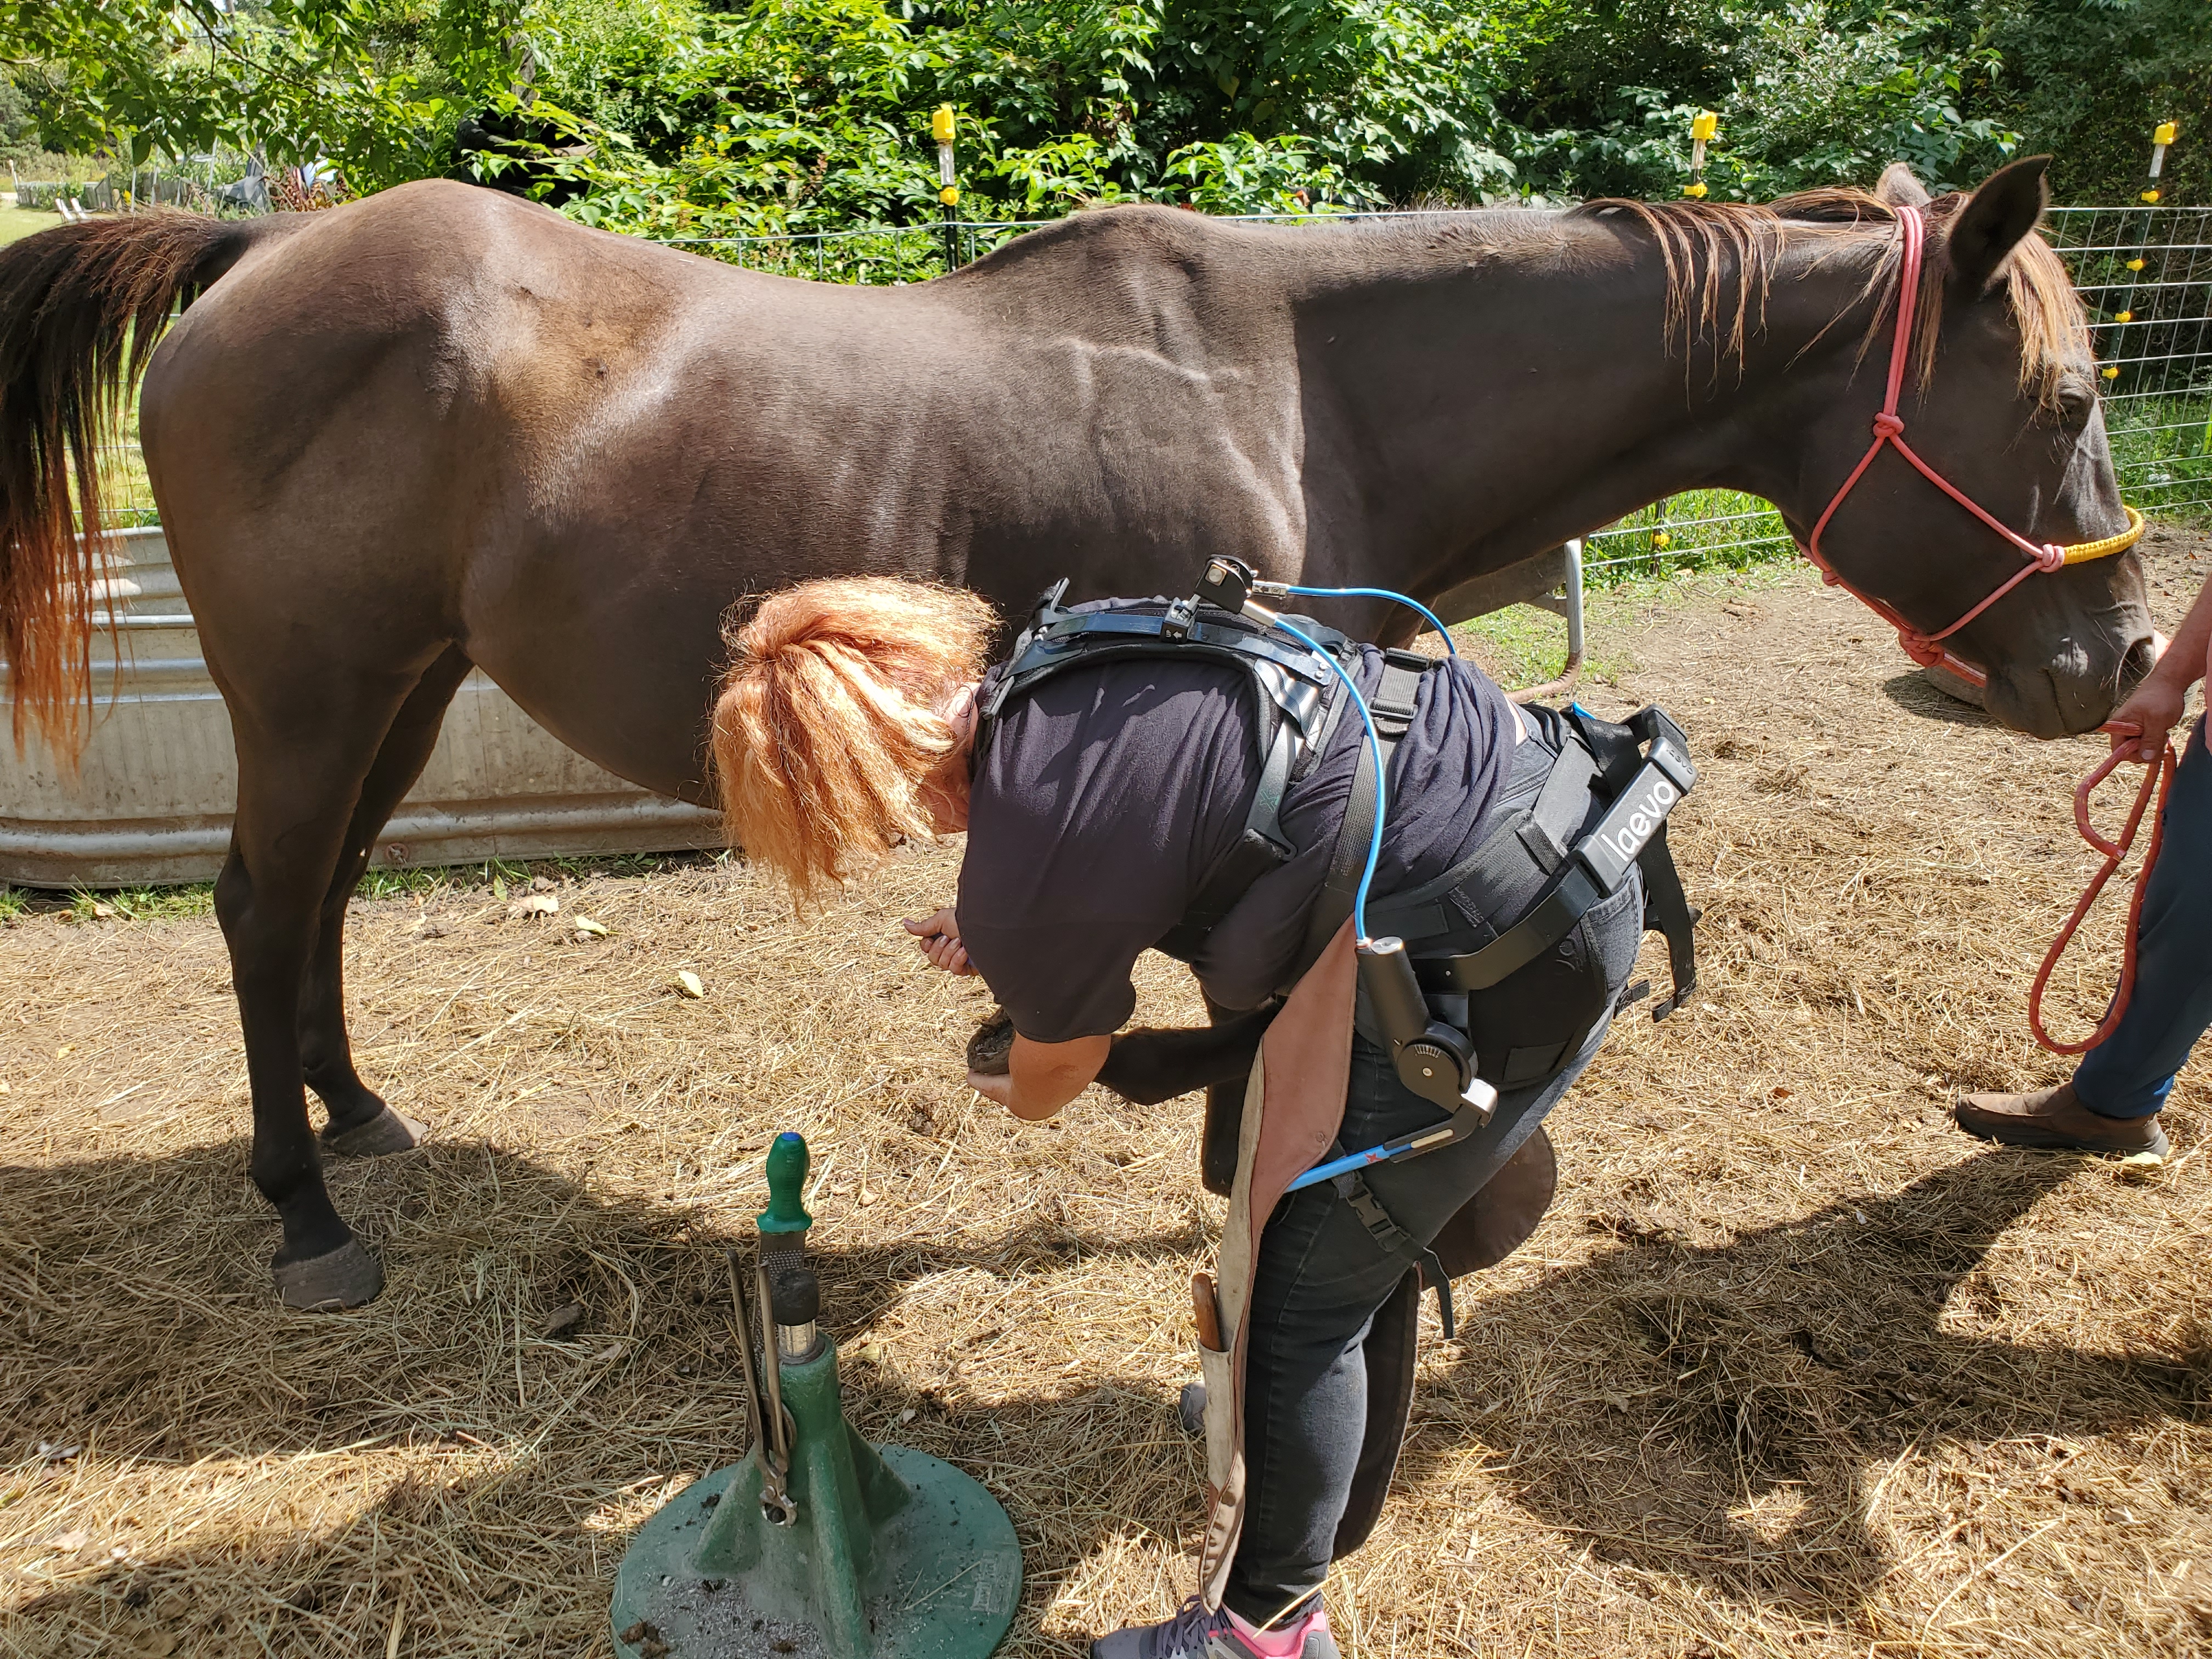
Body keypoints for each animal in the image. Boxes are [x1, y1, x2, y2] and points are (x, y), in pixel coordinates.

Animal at [0, 155, 2150, 1309]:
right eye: (2054, 402)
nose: (2120, 663)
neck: (1308, 386)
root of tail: (260, 253)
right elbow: (1263, 1027)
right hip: (310, 694)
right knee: (261, 913)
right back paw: (307, 1214)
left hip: (406, 688)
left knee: (322, 906)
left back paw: (359, 1115)